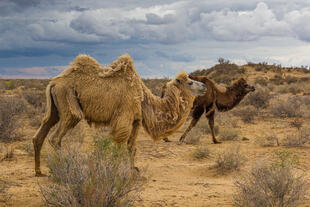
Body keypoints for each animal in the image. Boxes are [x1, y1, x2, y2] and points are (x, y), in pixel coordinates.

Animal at [32, 53, 207, 176]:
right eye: (190, 82)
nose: (204, 86)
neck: (142, 97)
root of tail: (53, 83)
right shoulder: (124, 118)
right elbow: (119, 143)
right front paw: (117, 170)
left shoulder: (136, 120)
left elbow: (131, 147)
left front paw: (133, 169)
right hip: (68, 101)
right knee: (56, 137)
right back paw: (64, 167)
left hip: (55, 108)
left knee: (41, 133)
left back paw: (39, 172)